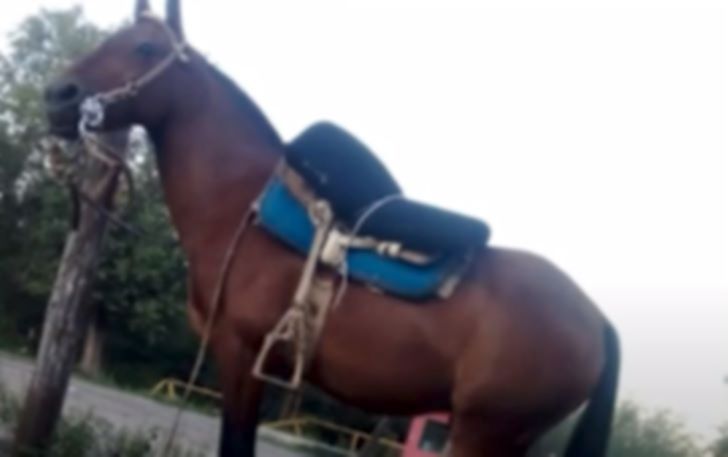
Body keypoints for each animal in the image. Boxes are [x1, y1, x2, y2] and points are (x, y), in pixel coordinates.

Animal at [43, 1, 620, 456]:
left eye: (143, 48)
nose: (58, 95)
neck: (239, 206)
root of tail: (596, 320)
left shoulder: (240, 356)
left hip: (483, 431)